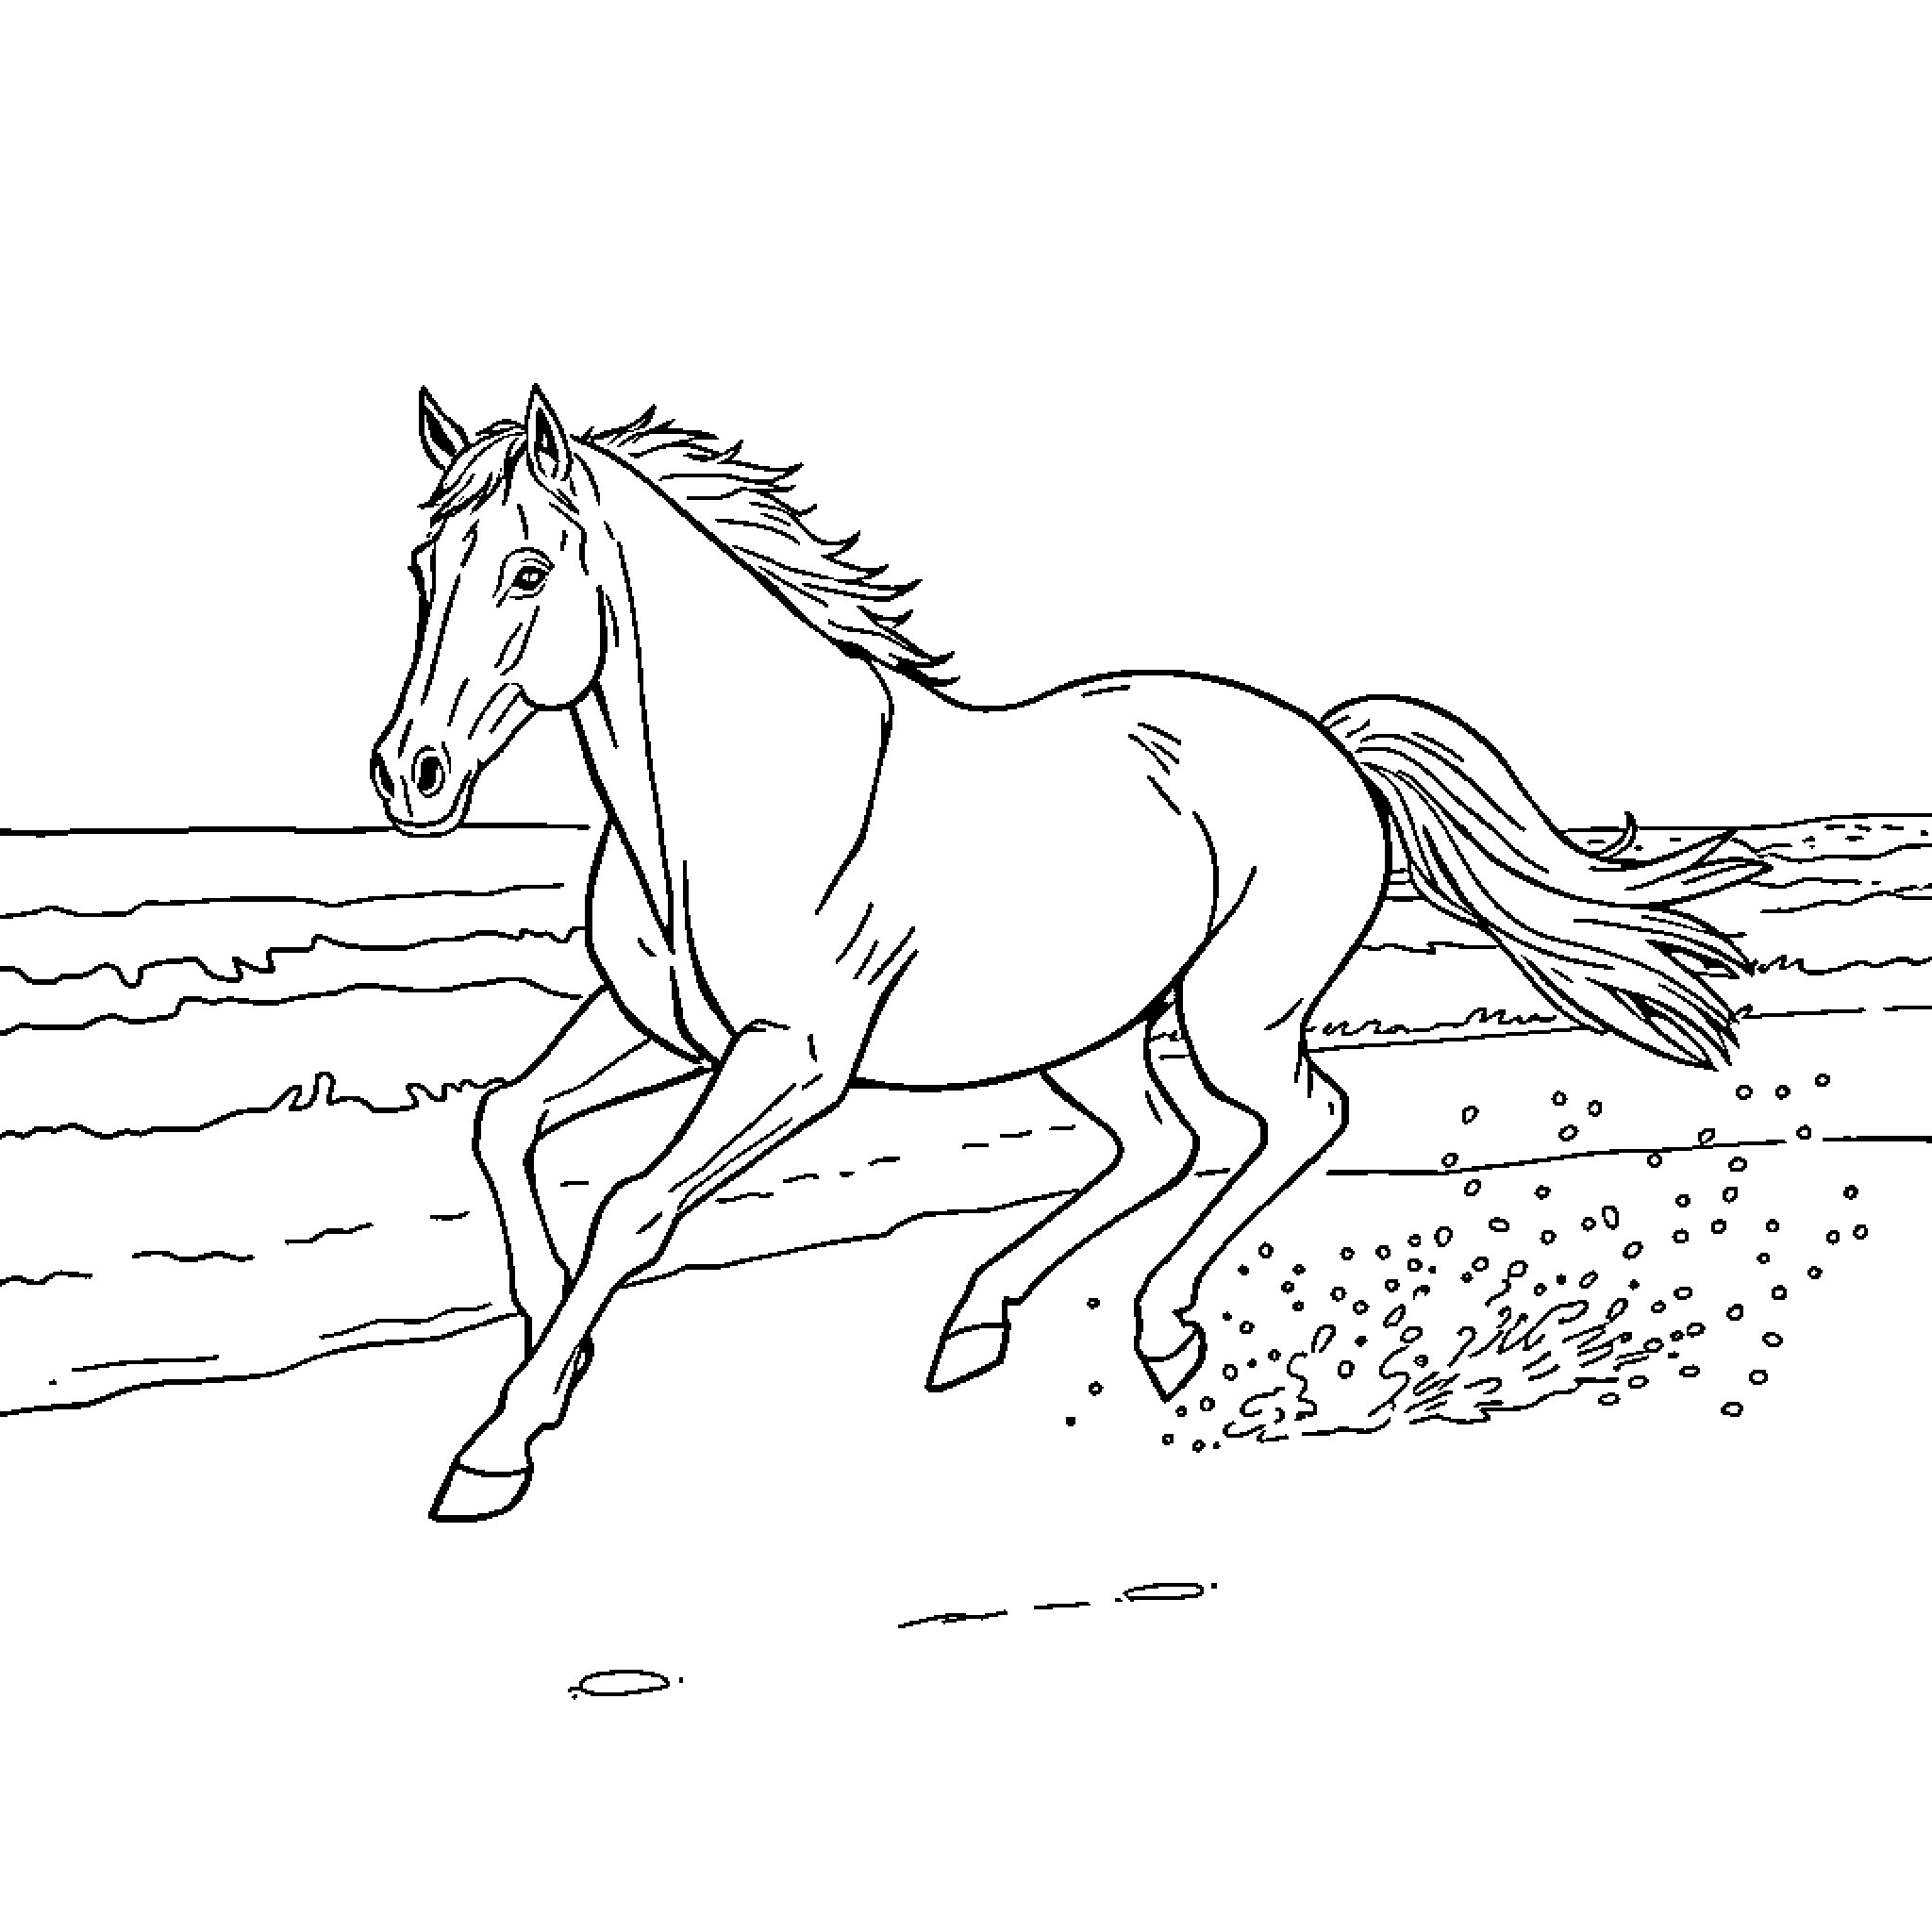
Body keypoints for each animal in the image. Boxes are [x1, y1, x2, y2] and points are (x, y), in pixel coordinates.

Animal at [371, 383, 1761, 1523]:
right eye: (424, 564)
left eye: (528, 571)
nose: (408, 776)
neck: (735, 799)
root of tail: (1327, 739)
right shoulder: (655, 1029)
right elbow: (502, 1121)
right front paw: (552, 1345)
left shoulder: (793, 1061)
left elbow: (634, 1205)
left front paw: (494, 1451)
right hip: (1086, 1034)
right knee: (1163, 1142)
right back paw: (981, 1321)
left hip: (1237, 1017)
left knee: (1296, 1121)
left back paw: (1160, 1328)